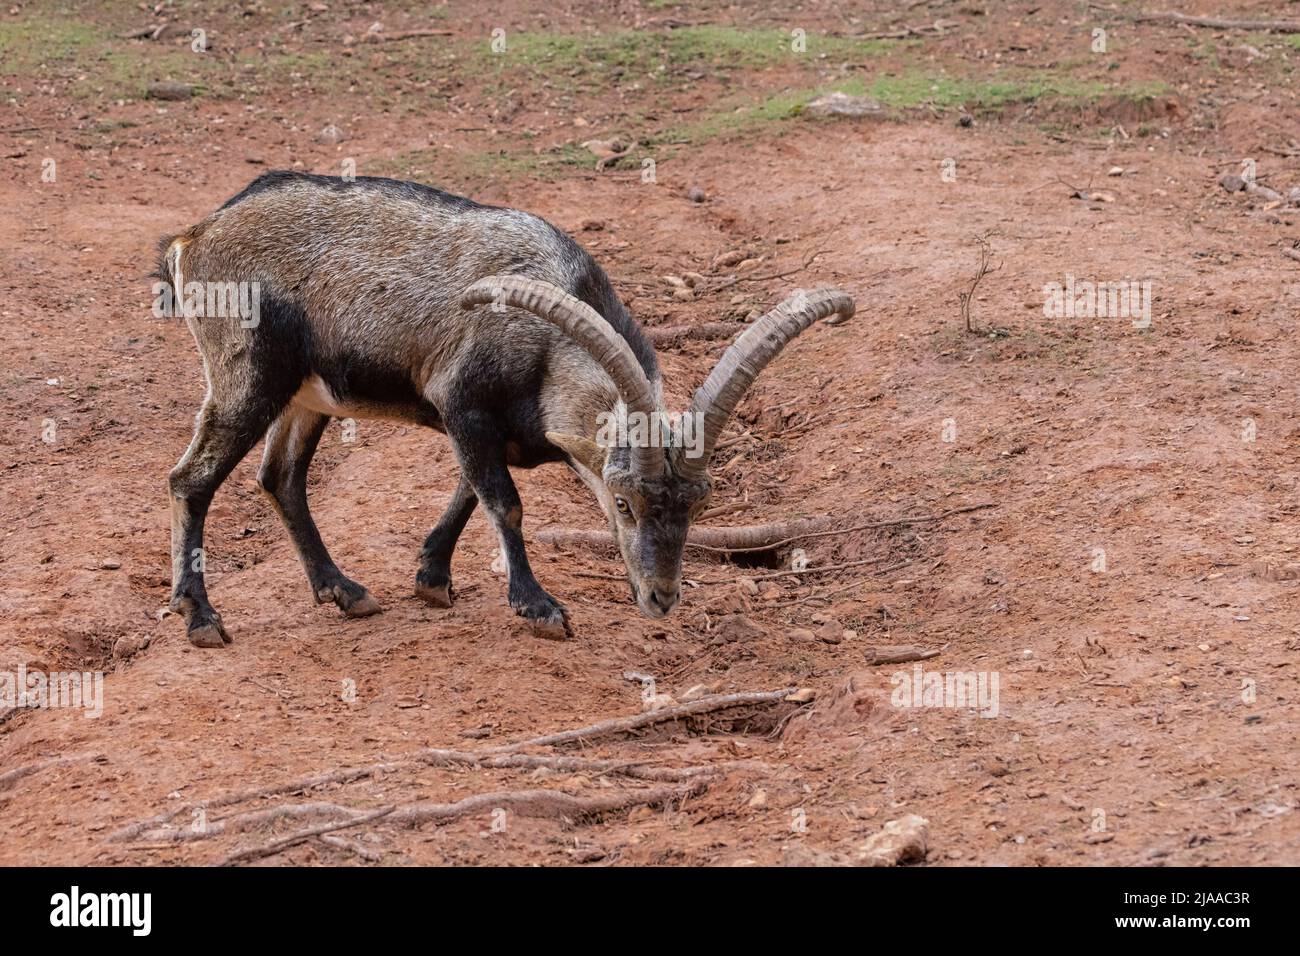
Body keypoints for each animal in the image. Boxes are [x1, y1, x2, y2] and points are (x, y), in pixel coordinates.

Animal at [155, 171, 854, 646]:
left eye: (699, 505)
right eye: (625, 502)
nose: (661, 597)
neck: (546, 345)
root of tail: (194, 237)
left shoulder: (486, 429)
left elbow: (471, 488)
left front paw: (431, 579)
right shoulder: (459, 401)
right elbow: (504, 501)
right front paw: (538, 606)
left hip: (306, 394)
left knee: (281, 477)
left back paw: (344, 591)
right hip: (246, 376)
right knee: (191, 479)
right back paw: (202, 617)